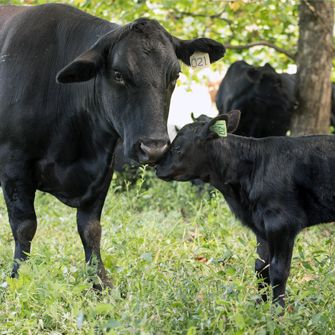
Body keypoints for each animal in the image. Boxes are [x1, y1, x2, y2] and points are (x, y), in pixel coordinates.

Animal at [0, 3, 226, 288]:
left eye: (175, 75)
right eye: (119, 74)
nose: (153, 147)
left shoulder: (103, 167)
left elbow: (90, 228)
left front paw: (100, 282)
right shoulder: (13, 164)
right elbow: (24, 226)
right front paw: (18, 277)